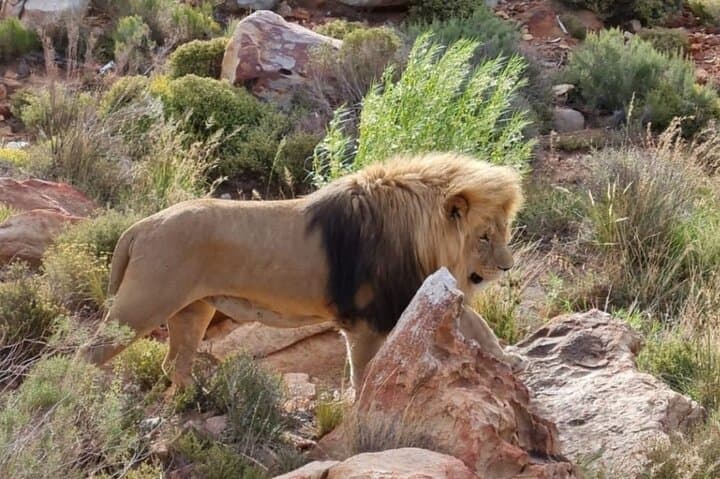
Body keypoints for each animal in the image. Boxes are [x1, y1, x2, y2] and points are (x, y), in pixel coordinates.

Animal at [78, 152, 524, 388]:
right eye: (484, 237)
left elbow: (476, 323)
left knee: (175, 364)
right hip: (143, 304)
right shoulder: (366, 320)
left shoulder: (418, 293)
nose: (506, 266)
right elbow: (364, 375)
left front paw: (508, 359)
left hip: (193, 309)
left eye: (505, 232)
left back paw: (198, 398)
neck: (421, 237)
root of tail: (141, 226)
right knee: (85, 355)